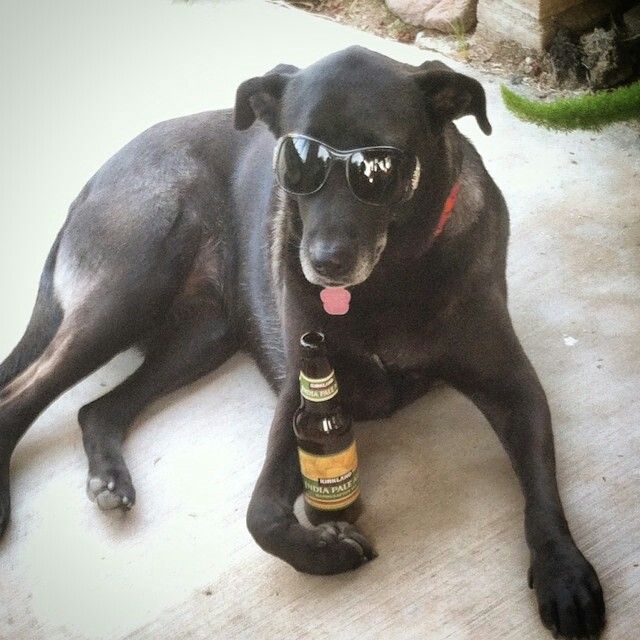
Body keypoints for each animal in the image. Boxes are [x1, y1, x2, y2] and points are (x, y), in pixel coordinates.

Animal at [0, 47, 604, 636]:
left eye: (378, 167)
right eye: (297, 159)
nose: (324, 263)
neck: (390, 279)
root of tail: (91, 182)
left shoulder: (513, 386)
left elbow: (543, 493)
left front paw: (564, 571)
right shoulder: (304, 388)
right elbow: (261, 516)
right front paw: (327, 550)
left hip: (202, 336)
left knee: (97, 410)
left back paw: (108, 475)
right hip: (133, 284)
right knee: (20, 396)